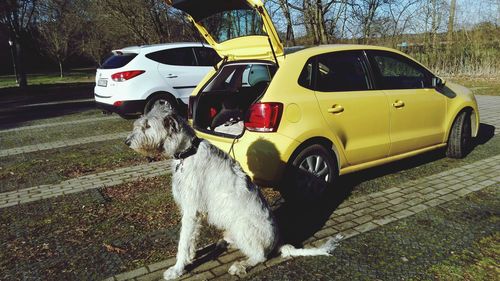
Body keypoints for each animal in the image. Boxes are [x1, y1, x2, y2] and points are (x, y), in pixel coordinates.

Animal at [126, 104, 344, 278]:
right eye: (142, 123)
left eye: (147, 126)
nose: (127, 142)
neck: (188, 152)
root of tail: (278, 241)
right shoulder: (193, 213)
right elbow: (190, 240)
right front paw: (189, 258)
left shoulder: (191, 211)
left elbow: (183, 241)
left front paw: (177, 269)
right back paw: (225, 242)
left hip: (243, 225)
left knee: (260, 256)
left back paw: (241, 264)